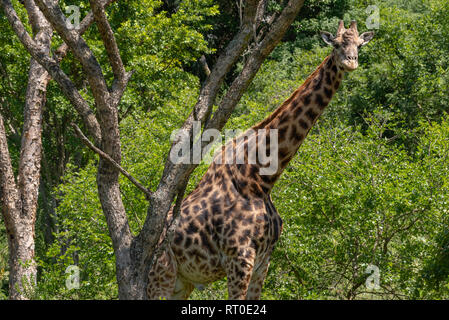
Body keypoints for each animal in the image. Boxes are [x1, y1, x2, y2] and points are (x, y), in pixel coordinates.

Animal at [148, 20, 374, 300]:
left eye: (359, 45)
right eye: (337, 44)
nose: (351, 62)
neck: (260, 178)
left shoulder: (263, 259)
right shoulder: (239, 257)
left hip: (183, 282)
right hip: (161, 275)